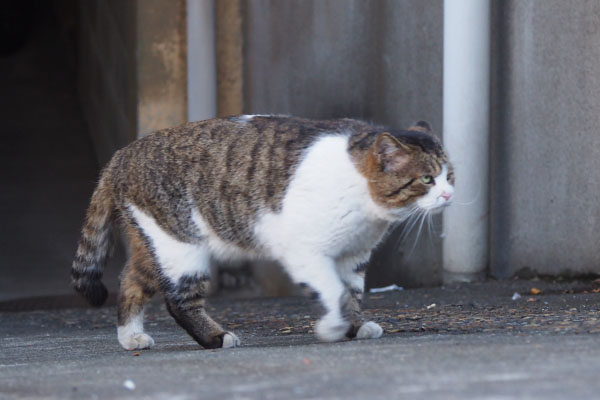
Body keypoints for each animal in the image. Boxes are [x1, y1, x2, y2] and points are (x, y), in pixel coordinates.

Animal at [71, 115, 454, 350]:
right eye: (426, 179)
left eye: (450, 175)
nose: (449, 194)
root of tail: (120, 155)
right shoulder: (305, 251)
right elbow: (336, 293)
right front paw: (333, 328)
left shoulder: (353, 256)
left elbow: (351, 293)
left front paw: (355, 326)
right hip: (181, 244)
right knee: (178, 300)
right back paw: (215, 337)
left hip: (157, 243)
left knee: (130, 283)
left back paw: (131, 337)